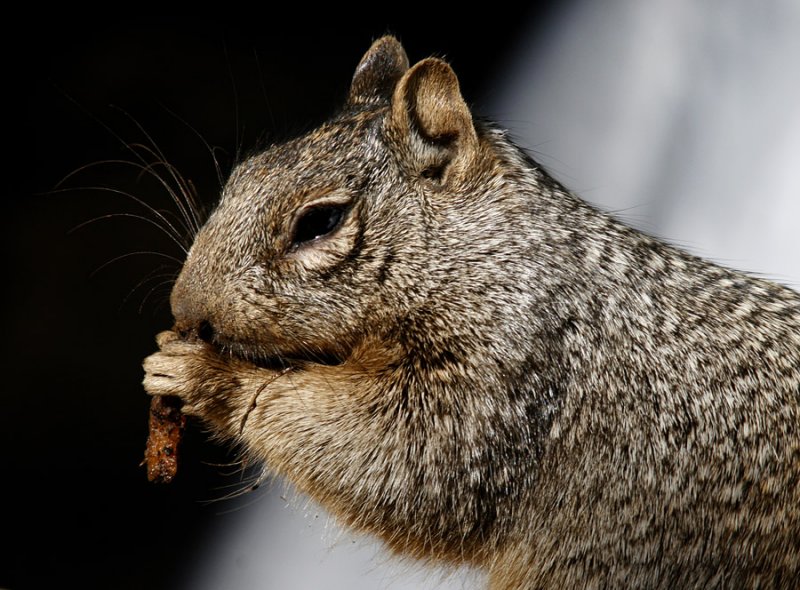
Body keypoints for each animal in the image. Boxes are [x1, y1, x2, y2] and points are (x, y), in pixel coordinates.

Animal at [143, 36, 800, 588]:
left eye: (320, 222)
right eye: (242, 174)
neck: (493, 257)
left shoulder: (509, 374)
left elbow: (401, 460)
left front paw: (206, 376)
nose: (184, 307)